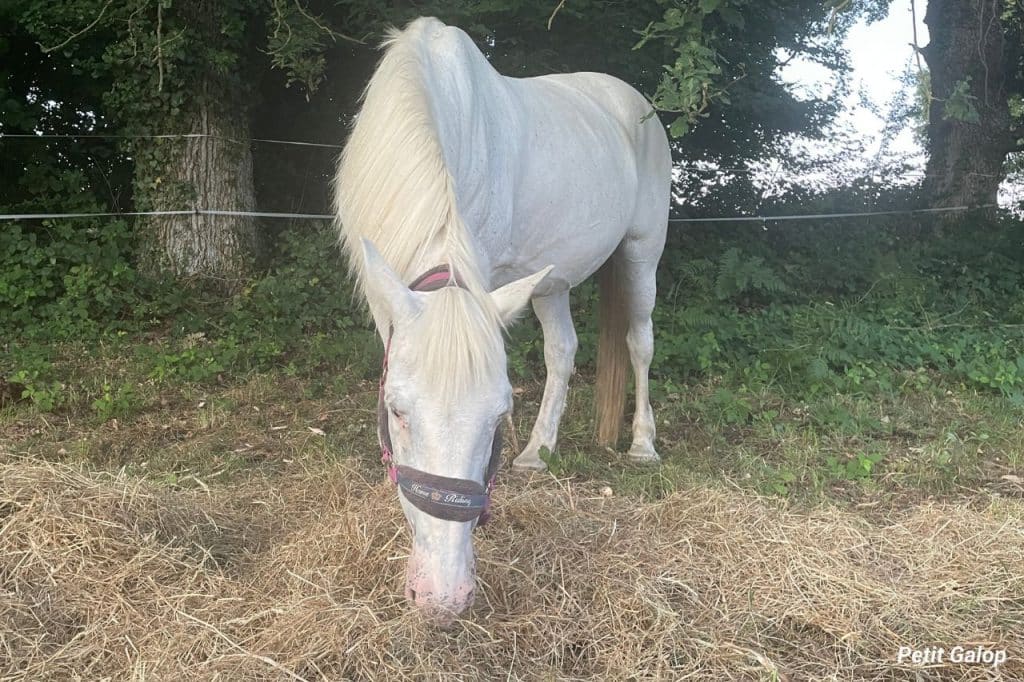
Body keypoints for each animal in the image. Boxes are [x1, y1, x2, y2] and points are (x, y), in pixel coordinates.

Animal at [333, 17, 670, 626]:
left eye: (497, 417)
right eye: (396, 411)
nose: (443, 597)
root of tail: (634, 102)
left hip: (641, 254)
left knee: (640, 343)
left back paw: (641, 445)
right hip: (550, 281)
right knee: (563, 349)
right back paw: (538, 452)